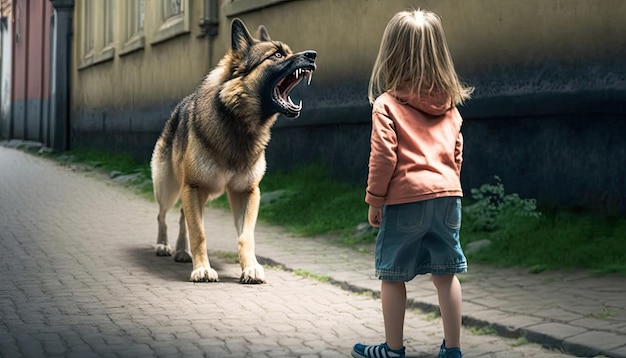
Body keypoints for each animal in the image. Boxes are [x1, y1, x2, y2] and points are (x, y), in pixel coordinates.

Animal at [151, 18, 314, 282]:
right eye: (277, 55)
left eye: (289, 51)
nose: (313, 55)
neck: (237, 121)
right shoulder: (194, 188)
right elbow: (200, 234)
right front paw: (202, 269)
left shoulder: (246, 192)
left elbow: (245, 236)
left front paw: (250, 268)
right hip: (170, 189)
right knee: (163, 215)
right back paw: (163, 245)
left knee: (182, 217)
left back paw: (182, 251)